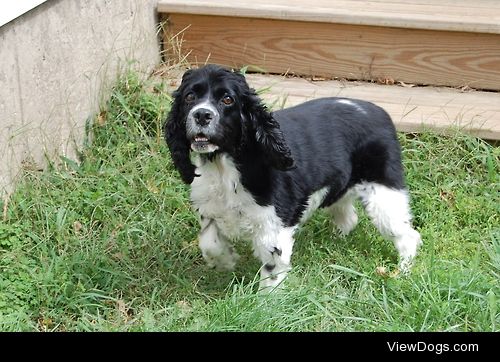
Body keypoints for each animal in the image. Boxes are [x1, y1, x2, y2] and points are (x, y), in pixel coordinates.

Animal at [165, 65, 422, 290]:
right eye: (189, 97)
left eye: (227, 99)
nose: (201, 115)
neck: (224, 165)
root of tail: (380, 112)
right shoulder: (209, 208)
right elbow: (209, 242)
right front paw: (225, 261)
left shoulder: (274, 227)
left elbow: (272, 269)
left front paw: (265, 301)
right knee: (348, 217)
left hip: (384, 194)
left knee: (408, 235)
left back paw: (402, 272)